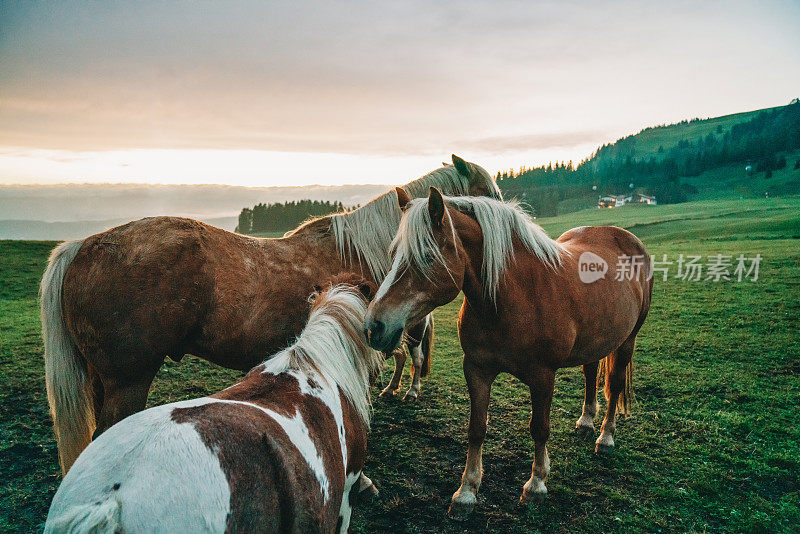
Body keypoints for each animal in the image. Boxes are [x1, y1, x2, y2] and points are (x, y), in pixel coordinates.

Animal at [366, 187, 652, 520]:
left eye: (426, 256)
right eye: (394, 254)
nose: (373, 326)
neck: (512, 297)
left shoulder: (543, 376)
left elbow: (539, 428)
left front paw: (536, 485)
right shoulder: (476, 369)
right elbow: (476, 428)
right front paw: (466, 492)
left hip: (627, 340)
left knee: (615, 384)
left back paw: (605, 437)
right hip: (596, 340)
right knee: (591, 373)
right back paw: (585, 421)